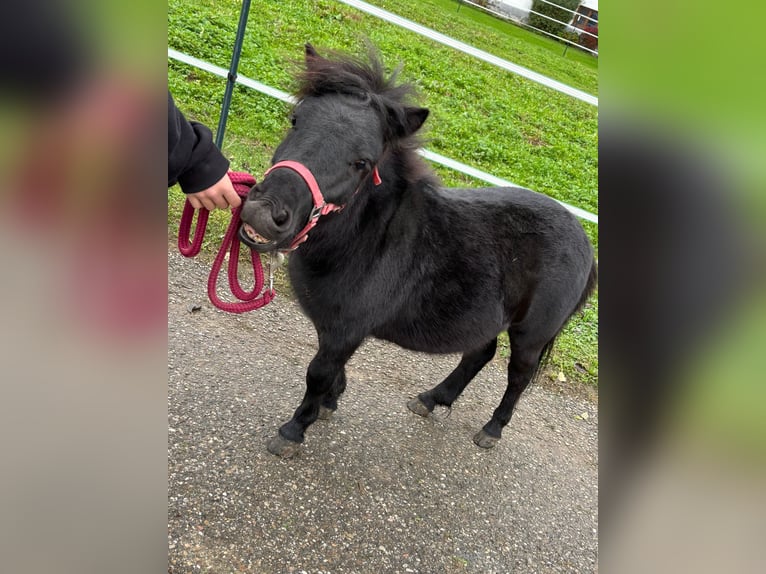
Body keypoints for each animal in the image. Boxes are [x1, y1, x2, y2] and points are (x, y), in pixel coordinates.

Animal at [240, 45, 600, 460]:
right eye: (296, 120)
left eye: (362, 162)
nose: (265, 212)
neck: (366, 240)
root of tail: (583, 239)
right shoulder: (333, 325)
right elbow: (332, 371)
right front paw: (331, 402)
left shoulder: (346, 329)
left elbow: (318, 374)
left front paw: (295, 429)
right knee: (479, 353)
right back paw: (432, 399)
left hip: (531, 334)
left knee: (518, 377)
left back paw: (491, 429)